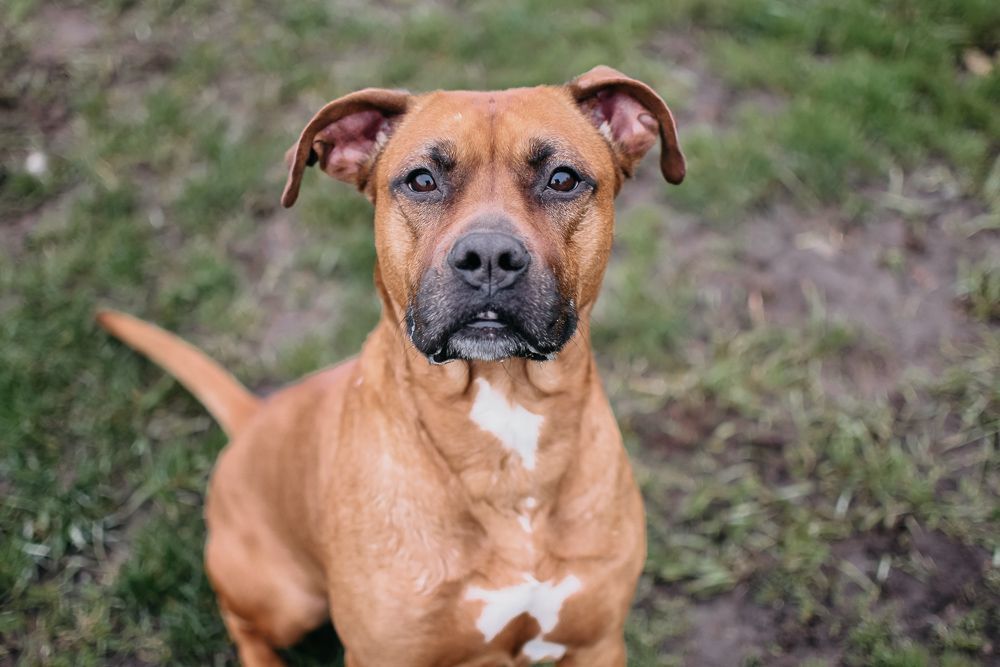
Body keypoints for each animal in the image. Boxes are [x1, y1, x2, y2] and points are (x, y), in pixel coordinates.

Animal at [97, 66, 684, 667]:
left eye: (563, 179)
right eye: (421, 180)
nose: (489, 257)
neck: (504, 418)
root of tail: (254, 416)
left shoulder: (596, 642)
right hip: (288, 598)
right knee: (244, 624)